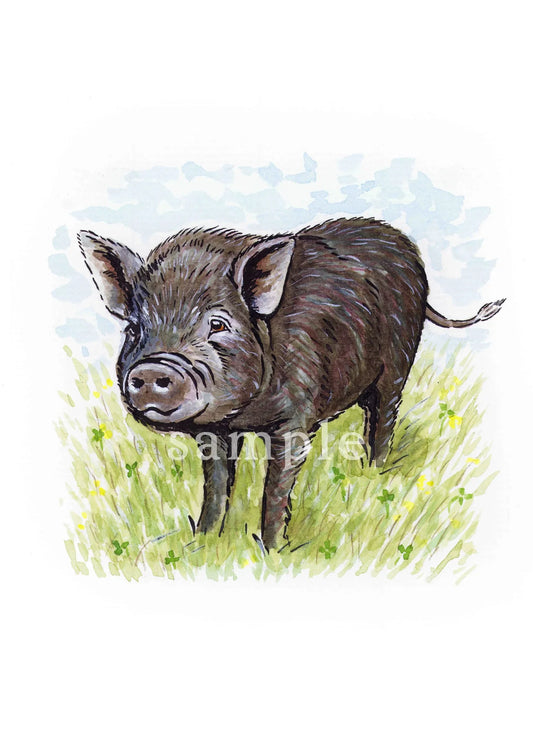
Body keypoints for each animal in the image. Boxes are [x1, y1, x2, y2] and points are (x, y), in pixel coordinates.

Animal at [78, 218, 504, 550]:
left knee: (385, 418)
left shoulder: (295, 420)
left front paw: (272, 552)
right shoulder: (215, 432)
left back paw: (374, 473)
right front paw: (201, 544)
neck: (243, 416)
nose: (151, 369)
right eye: (134, 328)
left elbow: (274, 487)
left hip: (398, 363)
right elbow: (216, 485)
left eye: (217, 324)